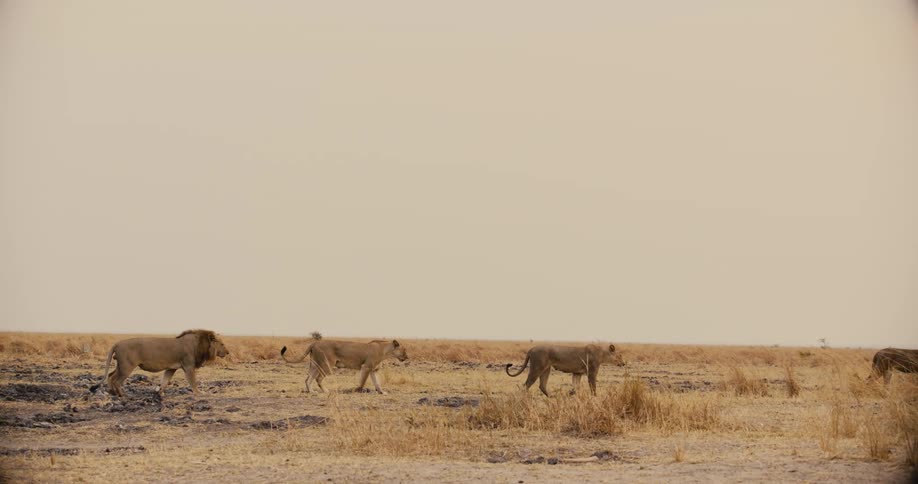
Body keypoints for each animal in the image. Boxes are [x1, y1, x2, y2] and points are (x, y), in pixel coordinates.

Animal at [89, 330, 229, 398]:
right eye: (222, 344)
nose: (228, 352)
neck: (199, 345)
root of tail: (117, 343)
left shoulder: (171, 368)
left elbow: (165, 381)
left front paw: (160, 393)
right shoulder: (188, 366)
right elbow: (193, 382)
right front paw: (199, 393)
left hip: (120, 365)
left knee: (110, 376)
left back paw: (112, 392)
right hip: (127, 367)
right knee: (116, 380)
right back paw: (122, 395)